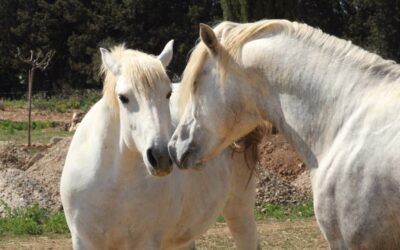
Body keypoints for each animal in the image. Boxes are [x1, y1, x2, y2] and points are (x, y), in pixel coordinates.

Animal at [59, 40, 260, 248]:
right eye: (123, 97)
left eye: (168, 93)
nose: (161, 157)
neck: (113, 185)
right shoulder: (82, 241)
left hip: (239, 211)